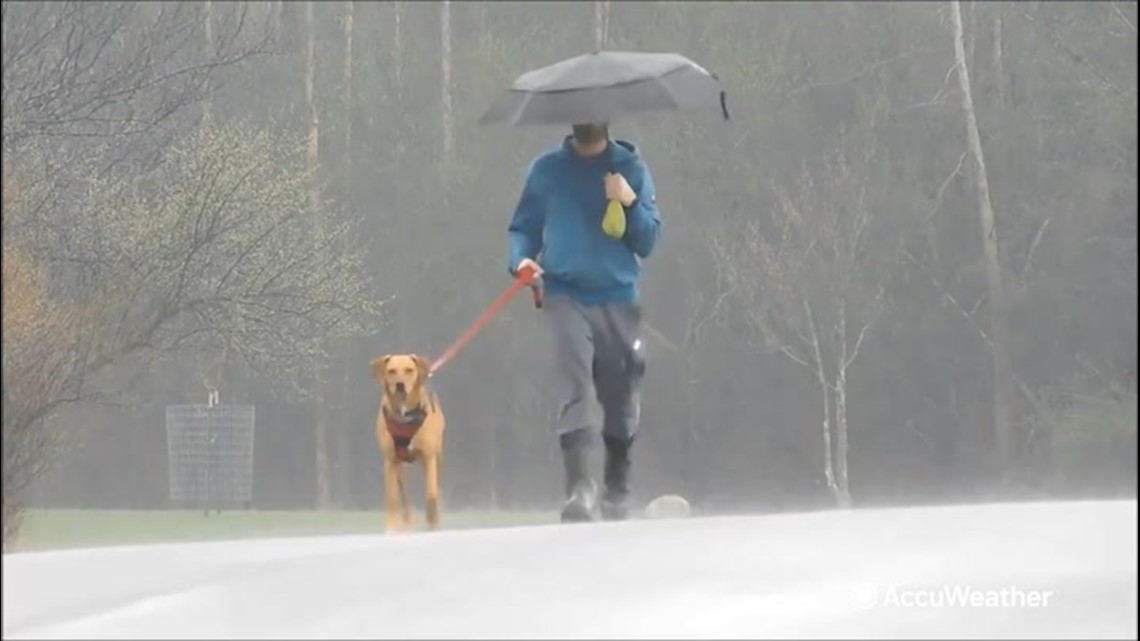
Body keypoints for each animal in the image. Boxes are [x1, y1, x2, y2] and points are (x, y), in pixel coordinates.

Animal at [371, 351, 446, 531]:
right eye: (391, 371)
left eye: (409, 370)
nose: (400, 385)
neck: (404, 415)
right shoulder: (390, 461)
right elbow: (392, 499)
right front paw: (391, 529)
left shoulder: (429, 455)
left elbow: (431, 492)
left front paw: (432, 517)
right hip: (400, 470)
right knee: (404, 498)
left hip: (437, 458)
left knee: (435, 489)